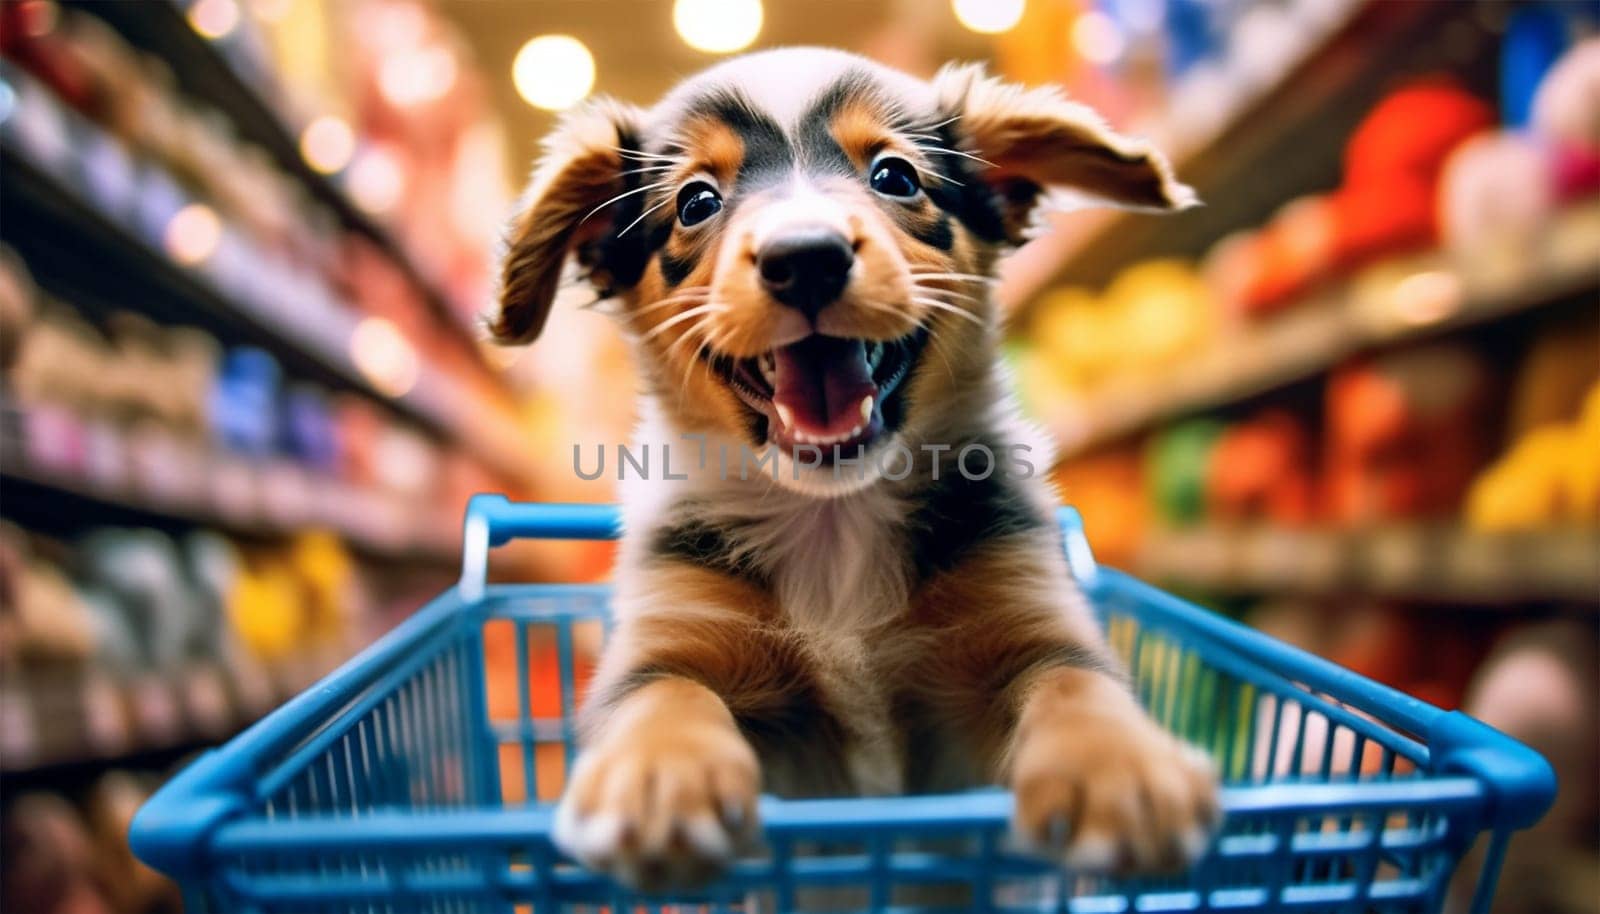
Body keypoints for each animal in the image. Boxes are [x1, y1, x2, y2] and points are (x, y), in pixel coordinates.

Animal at [486, 48, 1209, 896]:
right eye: (696, 201)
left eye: (895, 176)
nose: (805, 257)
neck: (834, 521)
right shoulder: (671, 639)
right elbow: (664, 694)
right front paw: (659, 777)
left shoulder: (1029, 623)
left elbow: (1076, 685)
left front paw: (1121, 768)